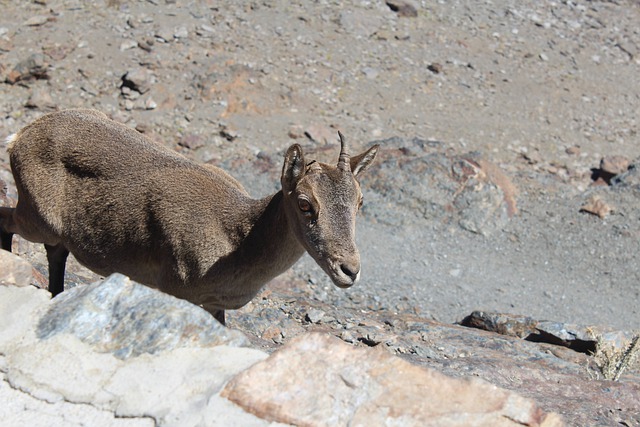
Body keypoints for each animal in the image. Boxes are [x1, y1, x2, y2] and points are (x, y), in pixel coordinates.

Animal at [0, 109, 378, 324]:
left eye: (360, 201)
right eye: (304, 203)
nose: (349, 270)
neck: (237, 239)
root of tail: (21, 137)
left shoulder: (212, 305)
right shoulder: (175, 292)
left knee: (56, 252)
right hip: (36, 217)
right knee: (8, 221)